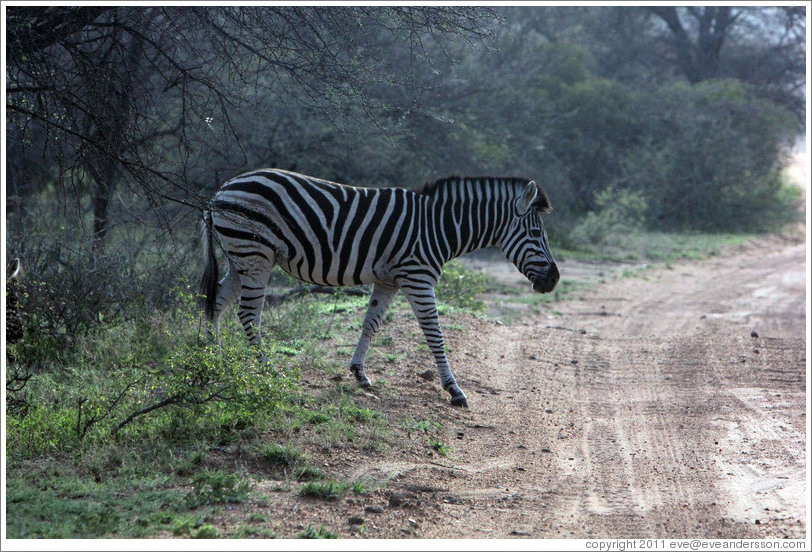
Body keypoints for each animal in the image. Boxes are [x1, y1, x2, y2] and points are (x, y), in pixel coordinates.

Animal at [200, 169, 559, 407]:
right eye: (536, 234)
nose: (554, 280)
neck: (439, 227)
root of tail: (222, 190)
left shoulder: (388, 280)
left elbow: (370, 324)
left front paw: (359, 374)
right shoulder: (418, 277)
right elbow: (435, 334)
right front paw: (454, 389)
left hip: (239, 257)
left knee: (216, 301)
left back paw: (214, 359)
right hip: (255, 253)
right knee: (248, 314)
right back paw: (266, 369)